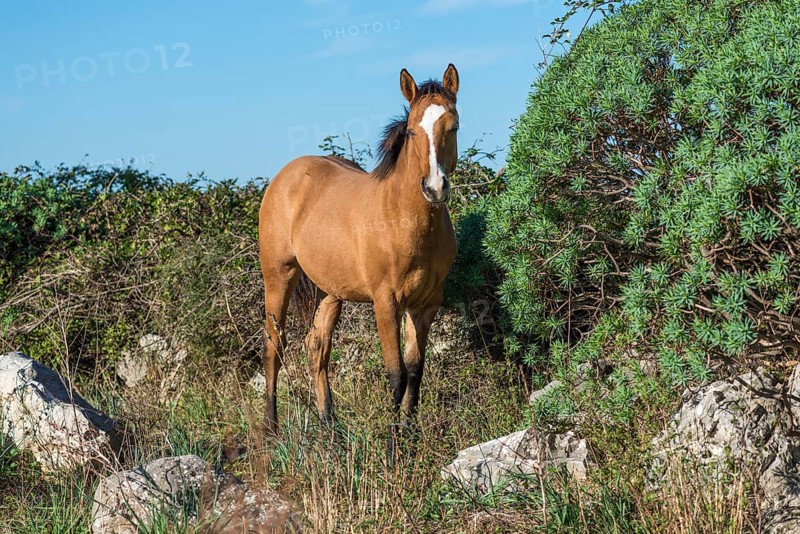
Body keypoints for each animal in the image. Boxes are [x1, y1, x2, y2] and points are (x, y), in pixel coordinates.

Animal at [258, 64, 459, 444]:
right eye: (411, 131)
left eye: (453, 126)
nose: (434, 188)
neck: (402, 218)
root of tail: (284, 177)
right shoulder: (386, 302)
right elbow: (396, 374)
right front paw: (393, 446)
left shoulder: (425, 305)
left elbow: (415, 371)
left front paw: (408, 436)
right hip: (279, 277)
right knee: (274, 347)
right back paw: (271, 432)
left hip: (330, 292)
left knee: (316, 347)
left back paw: (330, 429)